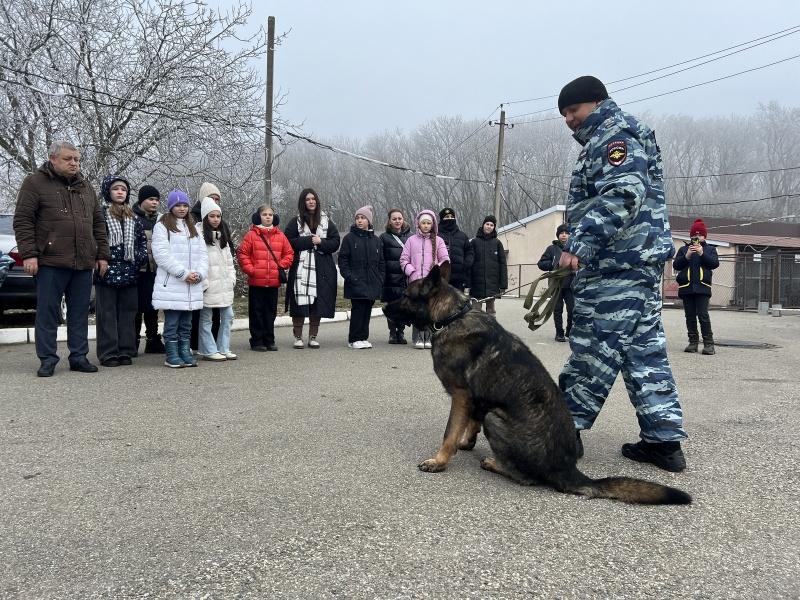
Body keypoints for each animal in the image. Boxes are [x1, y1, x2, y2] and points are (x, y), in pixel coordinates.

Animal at [384, 264, 692, 504]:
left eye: (405, 295)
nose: (383, 306)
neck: (451, 316)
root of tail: (570, 471)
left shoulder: (461, 396)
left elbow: (449, 433)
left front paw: (439, 461)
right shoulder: (475, 399)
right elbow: (470, 423)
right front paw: (466, 442)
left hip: (495, 418)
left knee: (527, 479)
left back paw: (494, 463)